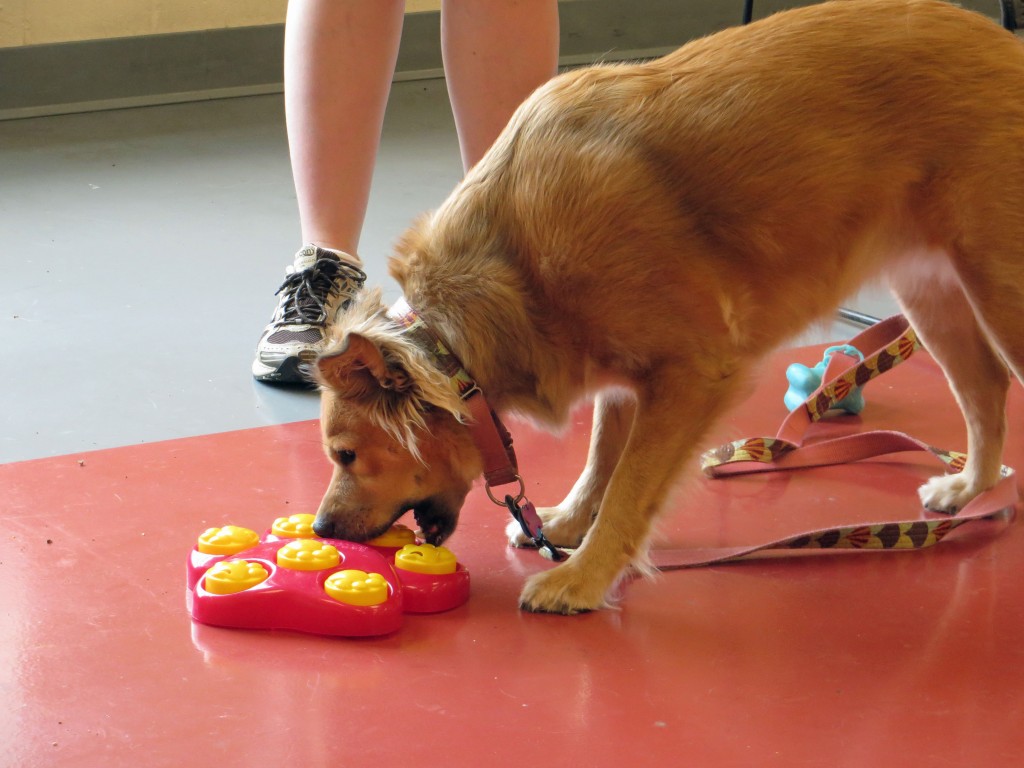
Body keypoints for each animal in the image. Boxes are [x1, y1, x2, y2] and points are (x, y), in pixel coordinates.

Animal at [311, 0, 1024, 614]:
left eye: (345, 455)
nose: (321, 529)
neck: (512, 264)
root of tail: (1006, 43)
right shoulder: (622, 374)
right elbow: (602, 459)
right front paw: (567, 523)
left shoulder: (690, 374)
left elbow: (629, 488)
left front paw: (584, 576)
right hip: (929, 293)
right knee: (986, 386)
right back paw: (970, 486)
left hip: (999, 291)